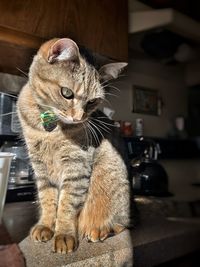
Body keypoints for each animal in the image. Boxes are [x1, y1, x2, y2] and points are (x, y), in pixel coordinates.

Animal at [16, 37, 130, 253]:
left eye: (93, 102)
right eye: (66, 93)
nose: (79, 118)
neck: (50, 130)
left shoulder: (77, 165)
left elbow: (66, 205)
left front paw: (64, 235)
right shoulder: (40, 167)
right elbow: (47, 199)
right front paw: (45, 225)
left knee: (122, 224)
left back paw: (99, 230)